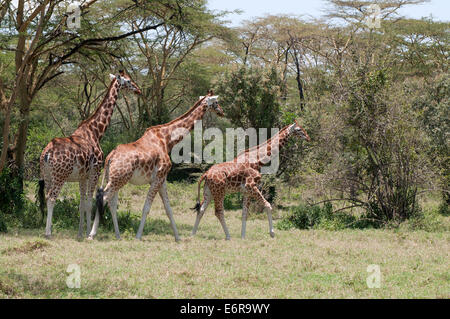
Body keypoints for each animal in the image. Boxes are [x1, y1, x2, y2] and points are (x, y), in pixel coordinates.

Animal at [38, 70, 141, 240]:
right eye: (128, 80)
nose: (138, 90)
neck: (95, 132)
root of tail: (47, 153)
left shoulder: (82, 176)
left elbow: (82, 203)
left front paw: (81, 233)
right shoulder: (95, 171)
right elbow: (89, 202)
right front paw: (88, 233)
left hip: (47, 175)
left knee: (46, 196)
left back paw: (46, 229)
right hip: (60, 175)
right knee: (52, 197)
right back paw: (48, 233)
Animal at [89, 91, 225, 241]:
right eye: (216, 102)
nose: (222, 112)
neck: (167, 140)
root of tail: (110, 157)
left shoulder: (163, 179)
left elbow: (168, 209)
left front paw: (178, 238)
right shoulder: (157, 178)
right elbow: (146, 208)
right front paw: (138, 236)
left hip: (113, 178)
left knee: (111, 202)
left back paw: (118, 236)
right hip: (119, 179)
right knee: (104, 198)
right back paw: (92, 234)